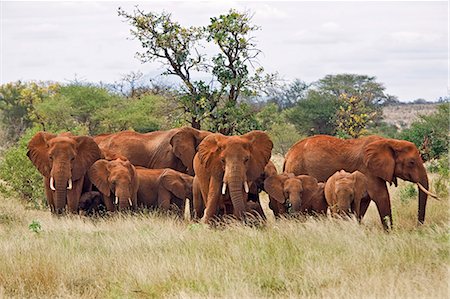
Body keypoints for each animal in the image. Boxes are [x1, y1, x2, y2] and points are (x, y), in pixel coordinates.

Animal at [284, 135, 436, 230]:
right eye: (411, 163)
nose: (418, 228)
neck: (390, 142)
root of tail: (288, 154)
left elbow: (364, 202)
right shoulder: (368, 170)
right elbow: (382, 197)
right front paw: (390, 233)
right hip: (298, 170)